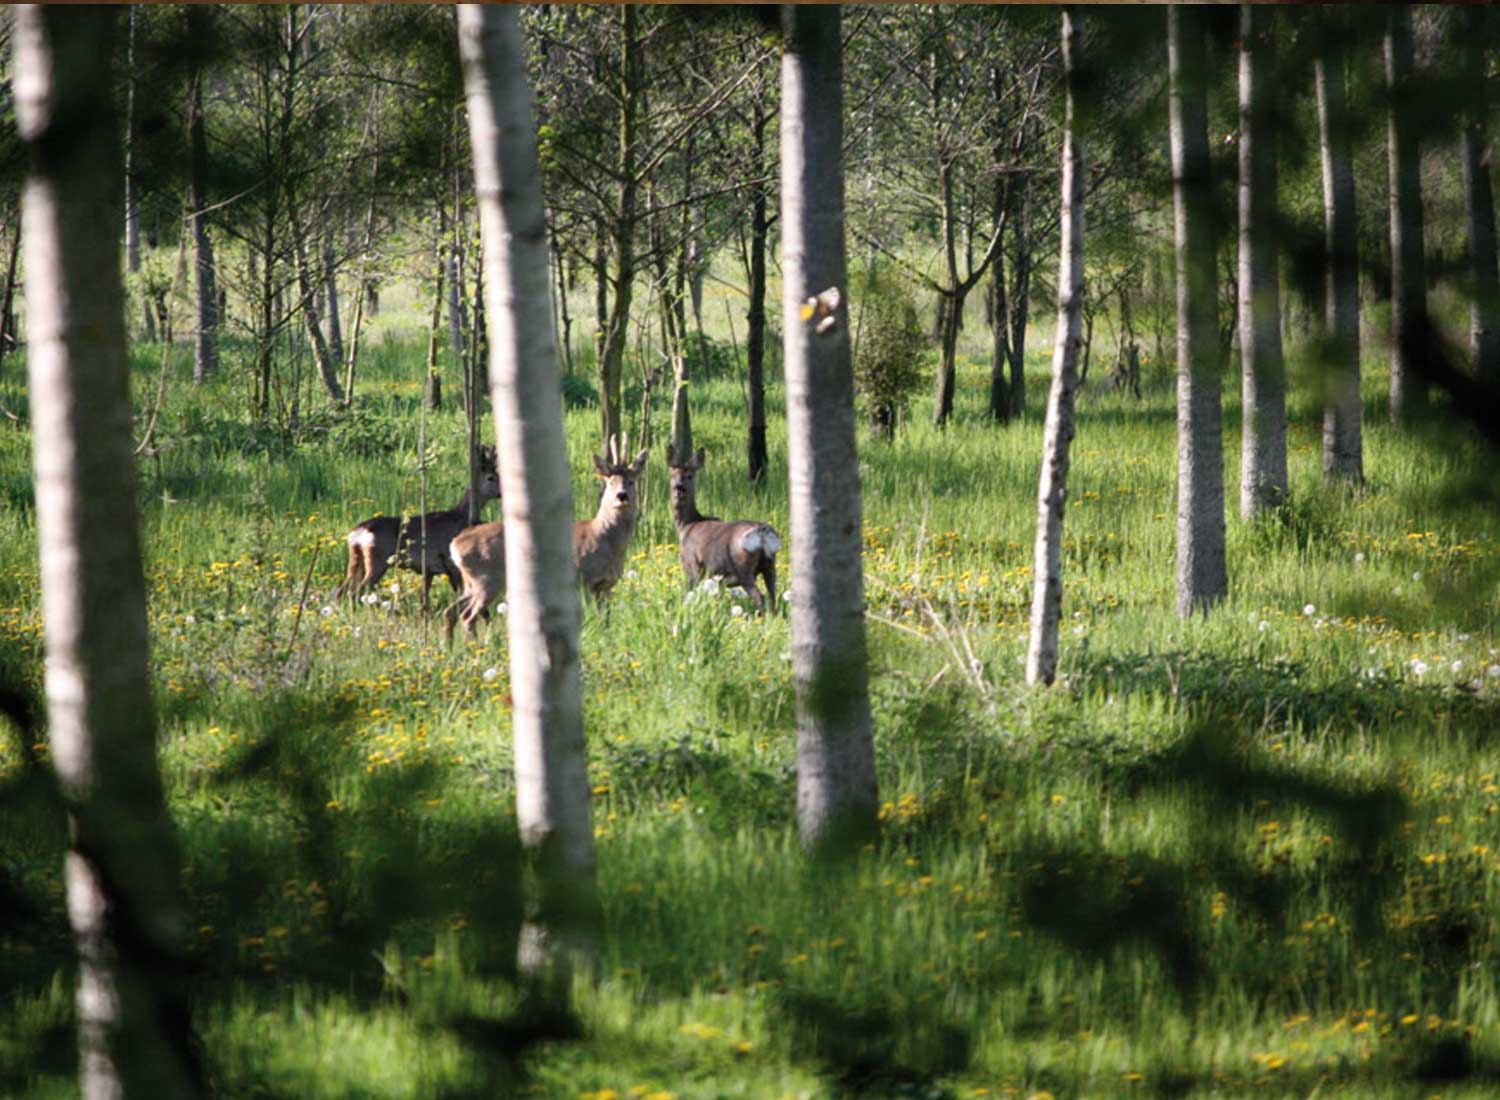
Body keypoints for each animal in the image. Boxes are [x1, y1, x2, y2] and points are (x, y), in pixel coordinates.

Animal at [337, 441, 501, 606]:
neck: (462, 515)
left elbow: (424, 599)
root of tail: (358, 532)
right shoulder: (450, 563)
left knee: (341, 591)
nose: (502, 492)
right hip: (377, 560)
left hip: (356, 558)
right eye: (491, 478)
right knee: (356, 592)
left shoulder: (429, 570)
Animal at [450, 432, 651, 642]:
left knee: (457, 611)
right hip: (486, 580)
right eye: (610, 482)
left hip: (471, 582)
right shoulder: (585, 579)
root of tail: (455, 544)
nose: (622, 496)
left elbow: (606, 620)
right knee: (467, 616)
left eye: (631, 481)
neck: (605, 539)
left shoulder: (607, 585)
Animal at [669, 444, 786, 609]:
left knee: (760, 597)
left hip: (743, 567)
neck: (687, 525)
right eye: (672, 474)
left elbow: (689, 593)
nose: (679, 488)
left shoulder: (691, 563)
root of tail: (762, 534)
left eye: (690, 476)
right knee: (773, 596)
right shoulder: (717, 580)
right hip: (770, 565)